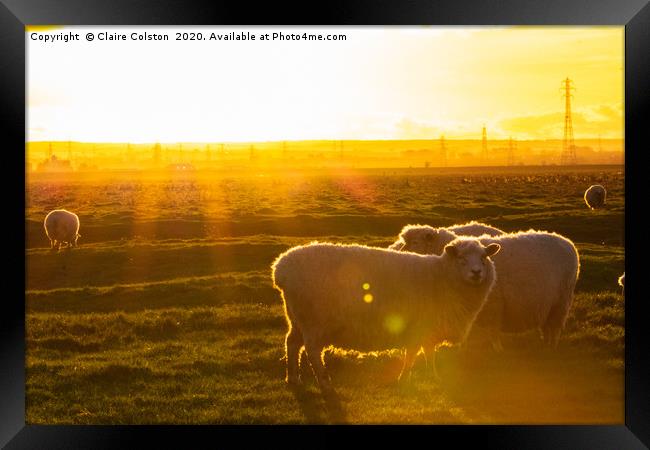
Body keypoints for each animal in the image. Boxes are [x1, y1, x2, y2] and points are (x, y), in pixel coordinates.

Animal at [270, 236, 498, 394]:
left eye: (484, 257)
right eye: (461, 258)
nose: (476, 273)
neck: (440, 277)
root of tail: (281, 268)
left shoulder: (425, 328)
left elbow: (424, 353)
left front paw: (428, 377)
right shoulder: (420, 326)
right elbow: (417, 354)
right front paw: (410, 378)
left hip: (297, 318)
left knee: (292, 343)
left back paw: (293, 378)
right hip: (314, 321)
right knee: (313, 352)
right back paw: (326, 385)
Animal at [390, 225, 576, 352]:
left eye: (415, 242)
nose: (397, 254)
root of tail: (566, 241)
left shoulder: (493, 306)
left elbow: (493, 332)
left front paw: (497, 351)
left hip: (561, 301)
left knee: (554, 329)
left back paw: (551, 348)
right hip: (550, 305)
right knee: (548, 327)